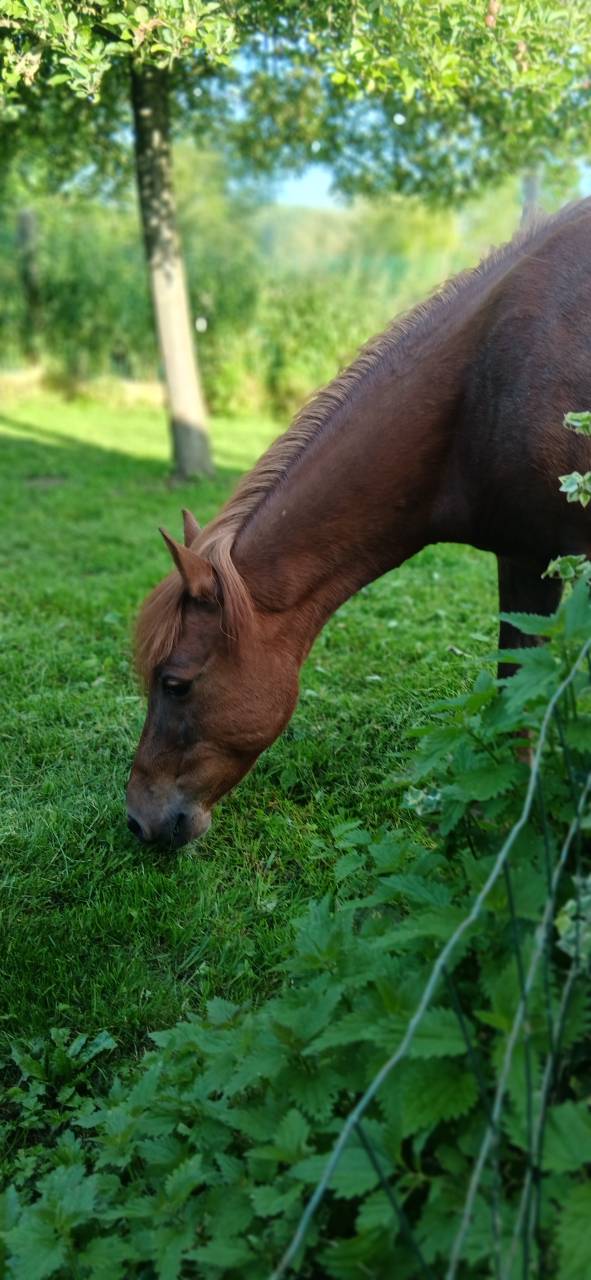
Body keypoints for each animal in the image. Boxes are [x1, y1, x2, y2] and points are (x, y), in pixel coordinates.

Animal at [127, 199, 591, 848]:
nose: (137, 819)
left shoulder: (543, 555)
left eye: (174, 683)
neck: (481, 385)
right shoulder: (524, 557)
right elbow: (513, 679)